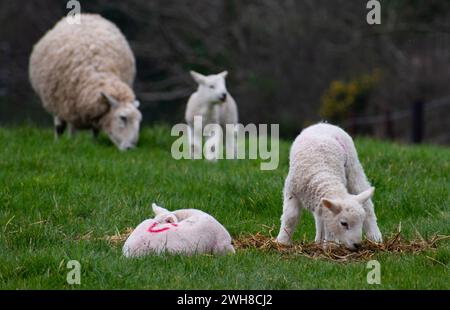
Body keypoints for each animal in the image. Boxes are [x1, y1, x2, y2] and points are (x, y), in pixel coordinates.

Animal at [29, 13, 142, 151]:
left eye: (139, 121)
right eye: (122, 118)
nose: (131, 148)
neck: (97, 73)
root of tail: (87, 14)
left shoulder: (96, 113)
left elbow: (95, 130)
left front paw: (94, 143)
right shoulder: (69, 106)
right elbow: (70, 129)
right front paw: (70, 143)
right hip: (56, 102)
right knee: (59, 125)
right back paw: (58, 141)